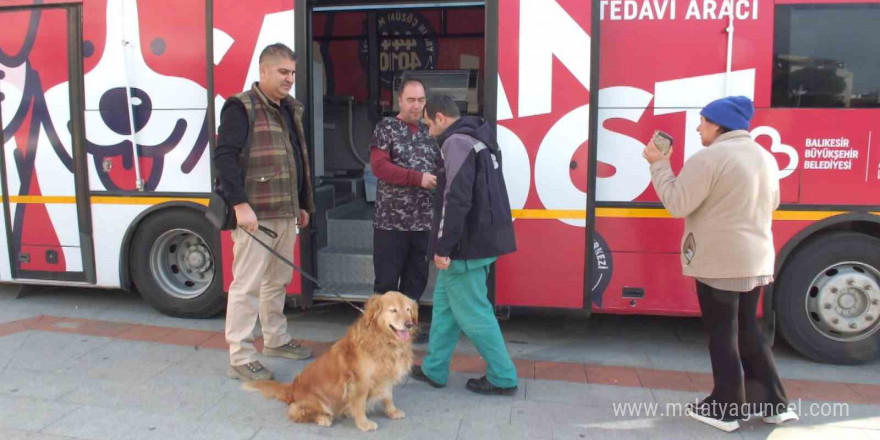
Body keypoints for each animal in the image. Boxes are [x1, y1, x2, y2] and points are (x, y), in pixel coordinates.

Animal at [241, 290, 420, 432]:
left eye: (408, 309)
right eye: (393, 310)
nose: (409, 324)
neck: (383, 341)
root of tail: (293, 387)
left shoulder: (386, 376)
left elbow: (388, 396)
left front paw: (392, 411)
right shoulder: (360, 382)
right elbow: (360, 404)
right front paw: (364, 424)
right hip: (319, 402)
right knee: (296, 411)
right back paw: (323, 418)